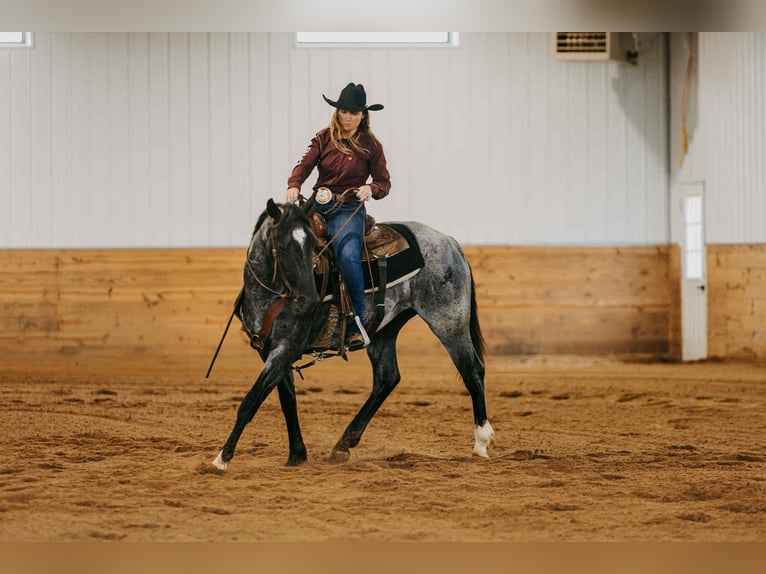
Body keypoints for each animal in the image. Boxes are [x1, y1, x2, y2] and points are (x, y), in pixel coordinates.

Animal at [211, 195, 494, 469]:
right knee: (387, 378)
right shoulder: (270, 351)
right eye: (281, 246)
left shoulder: (286, 348)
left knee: (472, 370)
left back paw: (481, 441)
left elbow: (251, 402)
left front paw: (222, 459)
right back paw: (343, 444)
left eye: (311, 246)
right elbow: (287, 400)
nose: (308, 300)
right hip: (384, 330)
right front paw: (297, 455)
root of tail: (449, 242)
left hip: (449, 322)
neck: (271, 293)